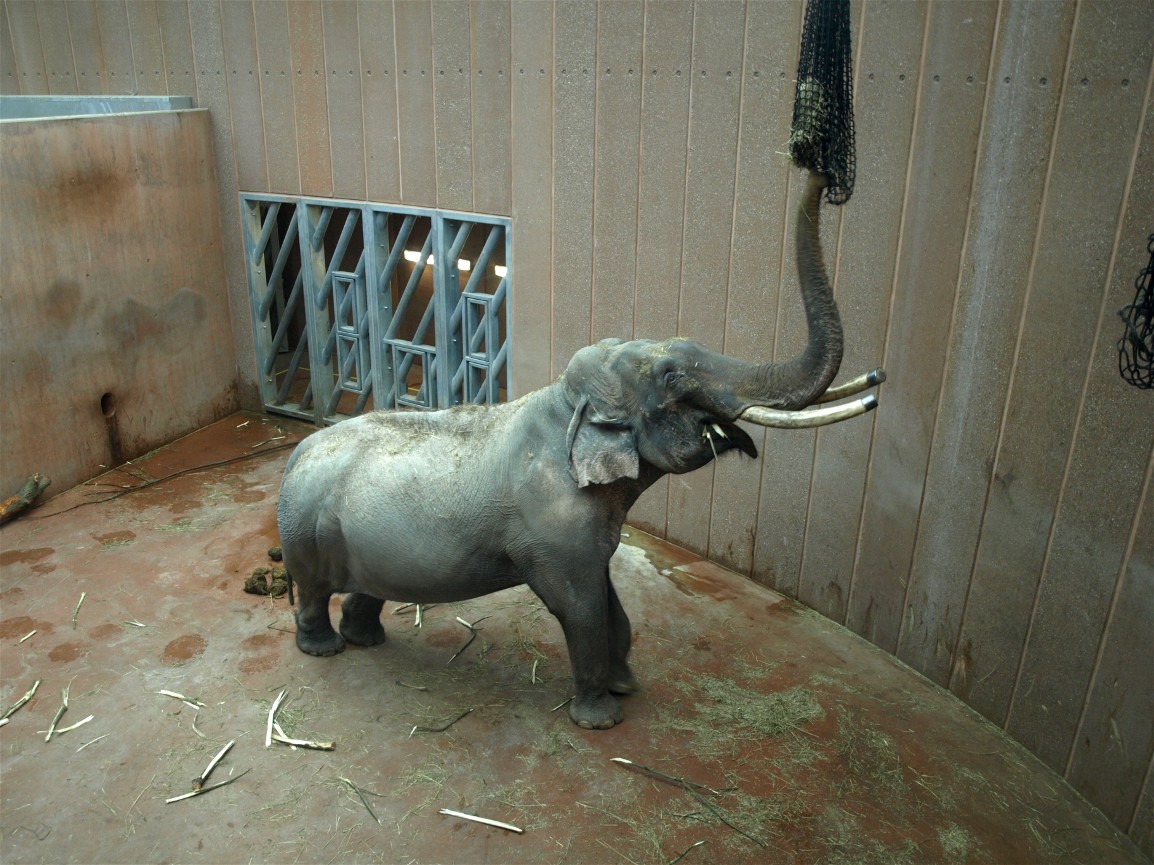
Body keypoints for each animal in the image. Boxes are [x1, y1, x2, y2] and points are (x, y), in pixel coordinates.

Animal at [276, 171, 883, 730]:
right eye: (672, 376)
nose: (822, 172)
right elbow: (581, 605)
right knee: (313, 591)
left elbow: (610, 599)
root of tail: (296, 451)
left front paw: (627, 686)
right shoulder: (551, 528)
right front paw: (600, 718)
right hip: (306, 533)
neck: (564, 404)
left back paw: (366, 639)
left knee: (365, 588)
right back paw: (324, 648)